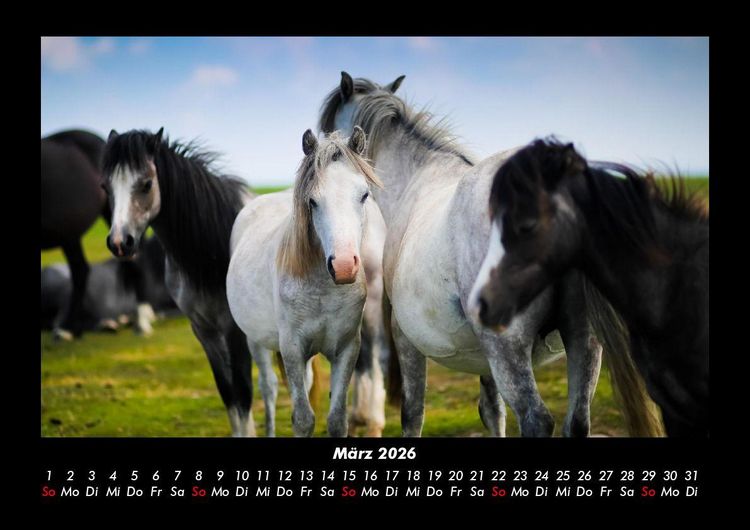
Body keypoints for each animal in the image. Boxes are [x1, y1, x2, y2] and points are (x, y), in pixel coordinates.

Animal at [102, 127, 261, 436]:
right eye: (105, 187)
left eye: (146, 184)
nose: (119, 243)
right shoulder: (204, 332)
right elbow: (229, 395)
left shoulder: (234, 333)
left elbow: (244, 395)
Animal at [226, 127, 384, 437]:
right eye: (313, 201)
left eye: (363, 195)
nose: (343, 266)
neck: (323, 290)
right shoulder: (292, 349)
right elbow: (302, 418)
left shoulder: (346, 348)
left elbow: (336, 419)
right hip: (255, 341)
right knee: (269, 388)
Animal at [319, 72, 658, 437]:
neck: (417, 179)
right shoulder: (483, 357)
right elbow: (492, 411)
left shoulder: (405, 336)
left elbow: (412, 413)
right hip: (583, 341)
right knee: (577, 421)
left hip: (507, 348)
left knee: (537, 418)